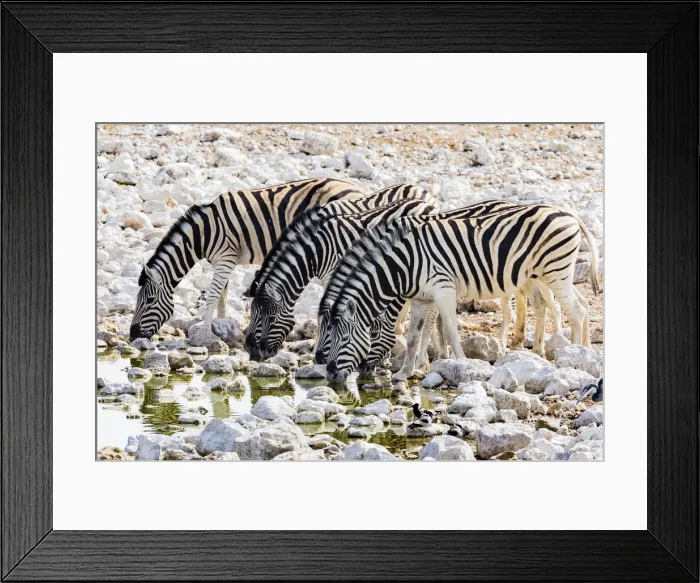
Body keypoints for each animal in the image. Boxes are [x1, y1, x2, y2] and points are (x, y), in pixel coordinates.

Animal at [129, 178, 370, 342]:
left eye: (148, 300)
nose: (133, 336)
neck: (204, 233)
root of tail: (357, 187)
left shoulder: (225, 257)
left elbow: (213, 296)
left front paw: (205, 333)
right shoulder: (223, 262)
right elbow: (223, 297)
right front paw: (221, 327)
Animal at [242, 191, 436, 361]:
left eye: (271, 318)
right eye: (252, 313)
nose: (252, 350)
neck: (318, 250)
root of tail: (427, 204)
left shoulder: (333, 275)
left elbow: (325, 313)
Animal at [322, 205, 600, 382]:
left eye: (344, 339)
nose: (331, 374)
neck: (405, 264)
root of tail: (570, 214)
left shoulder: (443, 288)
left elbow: (450, 330)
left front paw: (462, 364)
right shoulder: (420, 299)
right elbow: (413, 336)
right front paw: (404, 373)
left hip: (555, 272)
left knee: (575, 311)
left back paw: (572, 357)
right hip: (552, 274)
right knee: (583, 304)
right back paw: (581, 351)